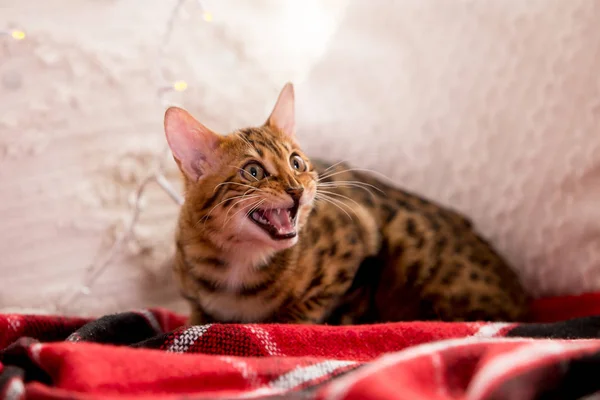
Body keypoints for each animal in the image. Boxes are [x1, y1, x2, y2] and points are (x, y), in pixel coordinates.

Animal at [164, 83, 528, 324]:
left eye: (296, 162)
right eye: (253, 171)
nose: (297, 188)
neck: (239, 263)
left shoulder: (358, 236)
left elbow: (305, 310)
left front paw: (285, 322)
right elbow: (198, 319)